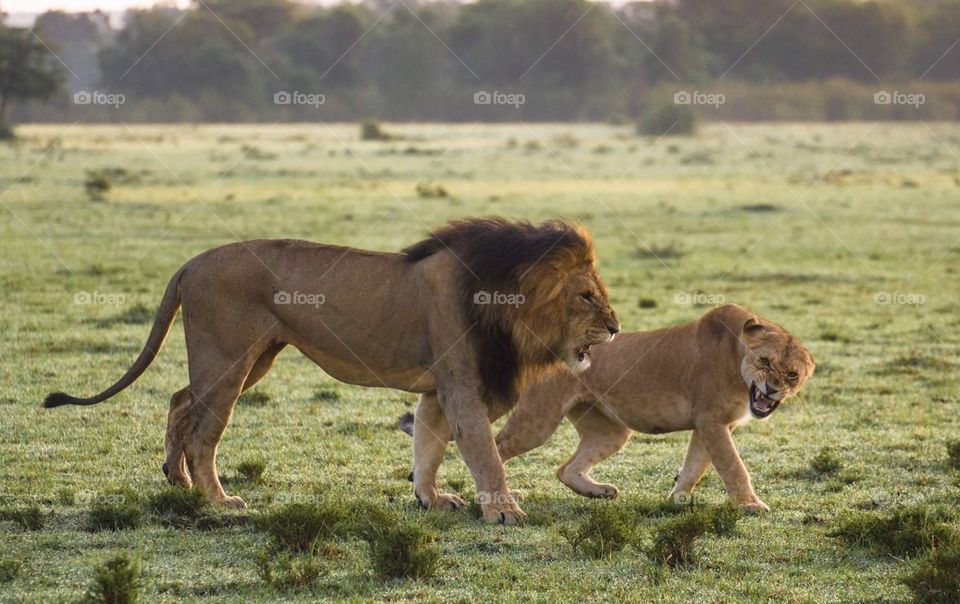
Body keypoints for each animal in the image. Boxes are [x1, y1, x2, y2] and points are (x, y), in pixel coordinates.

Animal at [43, 217, 620, 524]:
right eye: (587, 297)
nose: (615, 328)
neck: (503, 300)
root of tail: (190, 262)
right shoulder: (461, 383)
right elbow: (482, 450)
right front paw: (503, 512)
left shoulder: (438, 389)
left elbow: (428, 443)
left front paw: (431, 498)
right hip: (228, 357)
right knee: (205, 429)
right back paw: (219, 500)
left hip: (256, 356)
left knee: (180, 400)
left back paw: (176, 479)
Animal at [492, 304, 814, 512]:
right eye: (765, 361)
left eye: (792, 375)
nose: (772, 388)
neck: (738, 362)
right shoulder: (711, 420)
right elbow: (732, 465)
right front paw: (750, 505)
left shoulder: (709, 425)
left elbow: (694, 466)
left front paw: (676, 500)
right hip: (538, 421)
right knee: (495, 446)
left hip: (610, 432)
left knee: (565, 469)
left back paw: (599, 492)